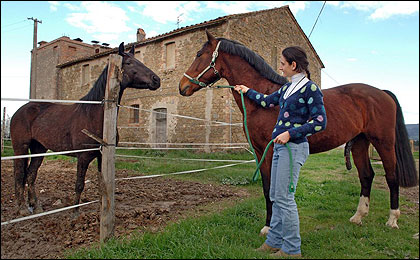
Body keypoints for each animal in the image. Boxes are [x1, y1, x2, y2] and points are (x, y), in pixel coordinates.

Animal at [10, 42, 161, 215]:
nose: (156, 80)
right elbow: (79, 184)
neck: (94, 115)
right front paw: (75, 212)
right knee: (19, 174)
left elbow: (101, 183)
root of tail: (20, 111)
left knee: (30, 174)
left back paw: (36, 206)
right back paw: (22, 208)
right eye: (129, 63)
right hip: (20, 148)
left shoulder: (102, 156)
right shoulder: (82, 157)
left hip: (39, 148)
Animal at [177, 30, 416, 234]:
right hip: (359, 142)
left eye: (199, 54)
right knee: (366, 176)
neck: (263, 100)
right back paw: (358, 217)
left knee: (391, 176)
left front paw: (269, 227)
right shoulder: (260, 151)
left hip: (383, 142)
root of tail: (382, 93)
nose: (182, 86)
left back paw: (392, 220)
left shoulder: (270, 149)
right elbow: (267, 187)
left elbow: (270, 188)